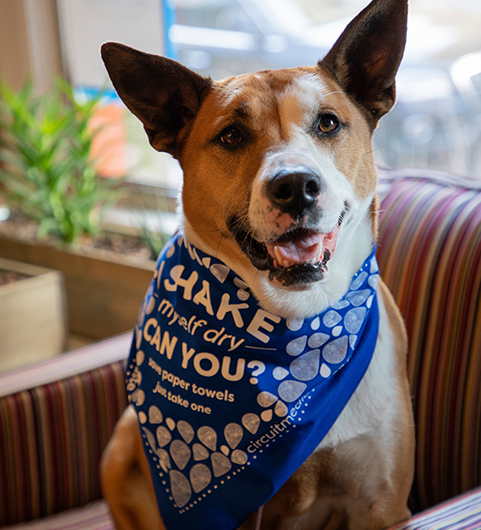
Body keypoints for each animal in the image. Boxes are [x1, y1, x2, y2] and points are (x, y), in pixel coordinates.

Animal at [100, 0, 412, 524]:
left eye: (328, 123)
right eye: (231, 135)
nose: (296, 185)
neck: (299, 320)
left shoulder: (383, 503)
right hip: (121, 444)